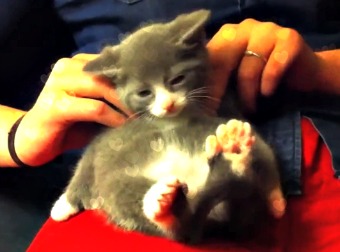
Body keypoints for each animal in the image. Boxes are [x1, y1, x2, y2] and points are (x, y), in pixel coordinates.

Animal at [50, 9, 284, 244]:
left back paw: (233, 152)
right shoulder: (107, 134)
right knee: (183, 222)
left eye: (177, 79)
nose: (167, 104)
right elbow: (85, 163)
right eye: (144, 93)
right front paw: (63, 205)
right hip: (120, 185)